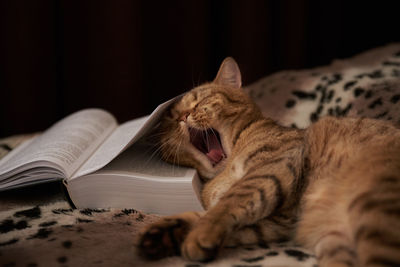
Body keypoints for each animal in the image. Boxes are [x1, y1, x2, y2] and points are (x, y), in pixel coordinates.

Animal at [138, 57, 400, 266]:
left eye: (201, 100)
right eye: (172, 118)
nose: (183, 116)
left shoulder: (270, 170)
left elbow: (223, 207)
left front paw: (196, 237)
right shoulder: (279, 222)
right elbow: (205, 216)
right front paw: (162, 234)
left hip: (372, 203)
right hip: (337, 242)